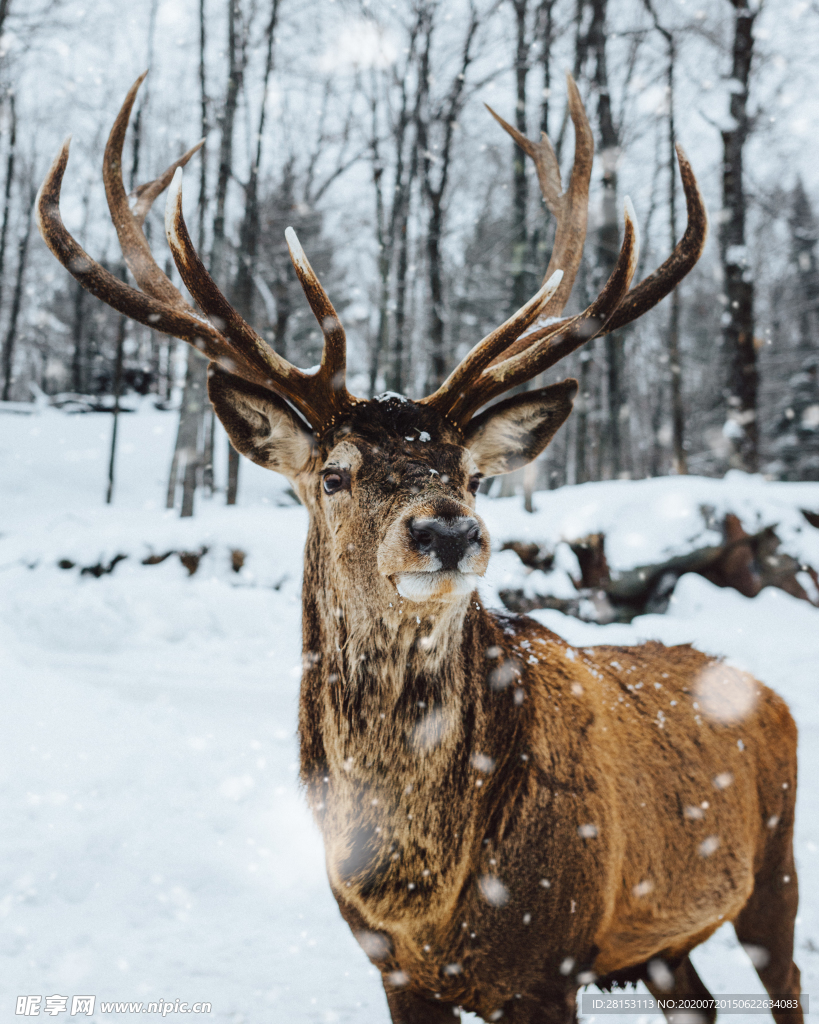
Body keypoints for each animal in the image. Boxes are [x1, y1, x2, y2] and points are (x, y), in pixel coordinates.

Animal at [37, 73, 801, 1024]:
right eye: (334, 473)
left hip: (774, 873)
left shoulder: (551, 959)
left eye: (472, 474)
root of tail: (768, 692)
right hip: (662, 943)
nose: (447, 529)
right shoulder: (389, 965)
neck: (419, 891)